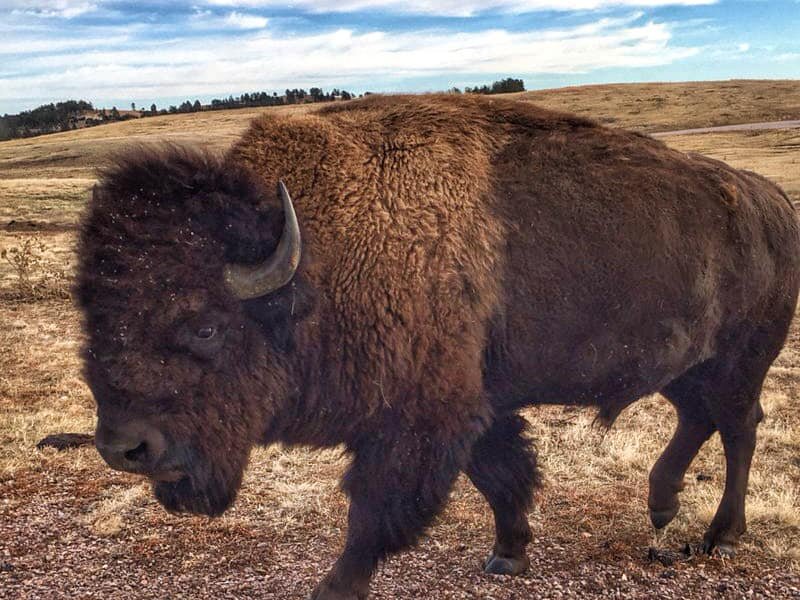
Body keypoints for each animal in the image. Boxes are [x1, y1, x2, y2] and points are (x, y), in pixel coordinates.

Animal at [73, 95, 792, 600]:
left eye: (205, 326)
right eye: (93, 316)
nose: (125, 448)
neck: (319, 258)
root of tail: (773, 200)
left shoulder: (419, 420)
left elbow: (376, 512)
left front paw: (334, 587)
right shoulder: (477, 404)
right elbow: (502, 475)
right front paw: (509, 553)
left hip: (740, 364)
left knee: (739, 430)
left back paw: (722, 537)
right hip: (689, 366)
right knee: (699, 419)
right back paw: (662, 505)